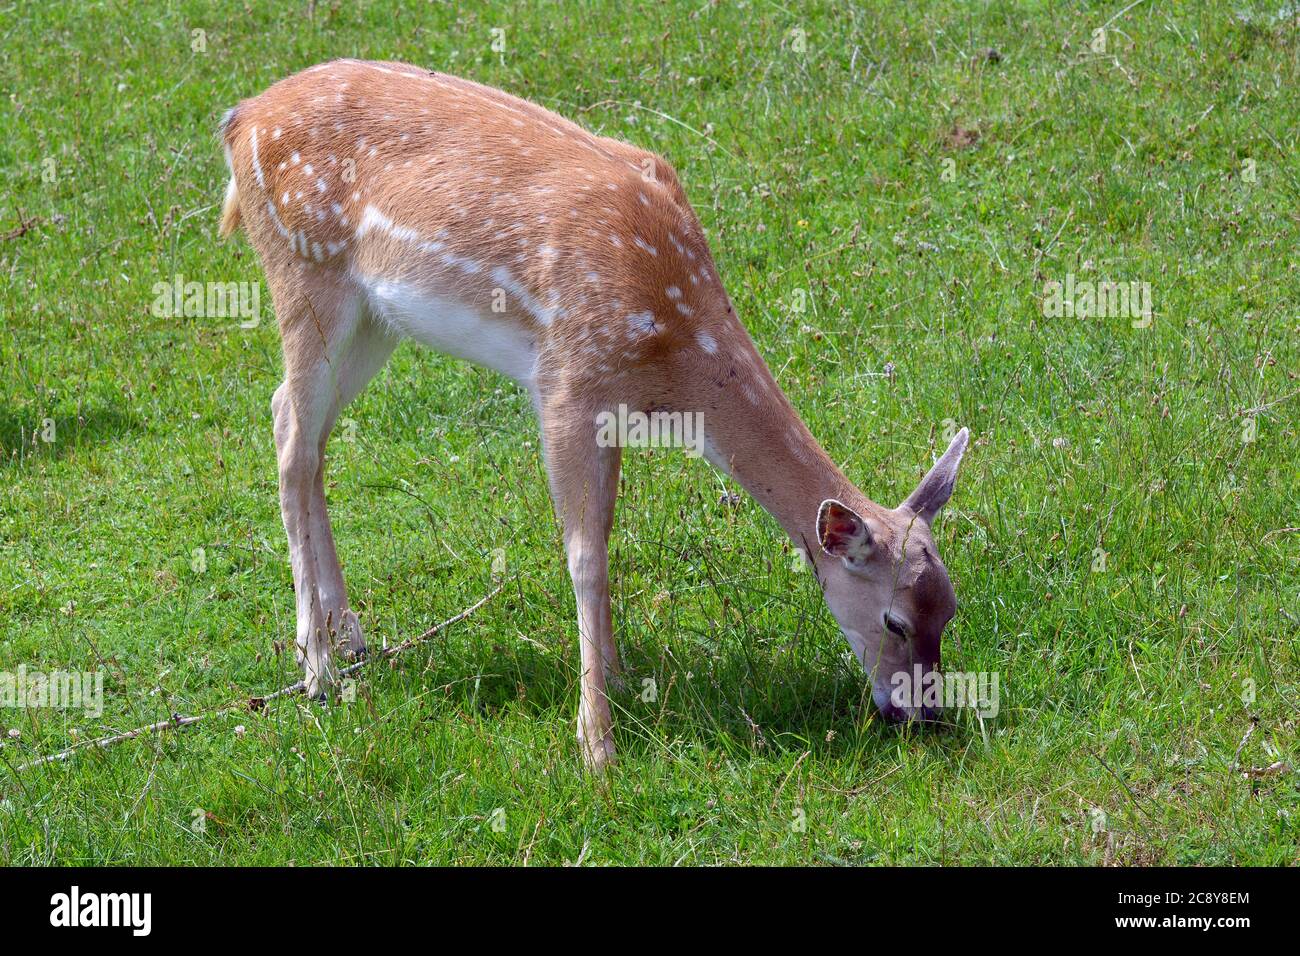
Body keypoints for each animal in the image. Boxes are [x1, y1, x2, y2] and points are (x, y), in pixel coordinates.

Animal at [215, 59, 967, 775]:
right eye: (896, 622)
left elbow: (605, 536)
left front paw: (623, 677)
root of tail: (240, 118)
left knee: (298, 424)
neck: (672, 359)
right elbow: (584, 556)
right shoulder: (565, 386)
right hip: (303, 273)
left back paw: (352, 636)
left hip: (376, 320)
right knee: (292, 436)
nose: (924, 716)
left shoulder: (611, 410)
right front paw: (596, 745)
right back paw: (318, 669)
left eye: (950, 609)